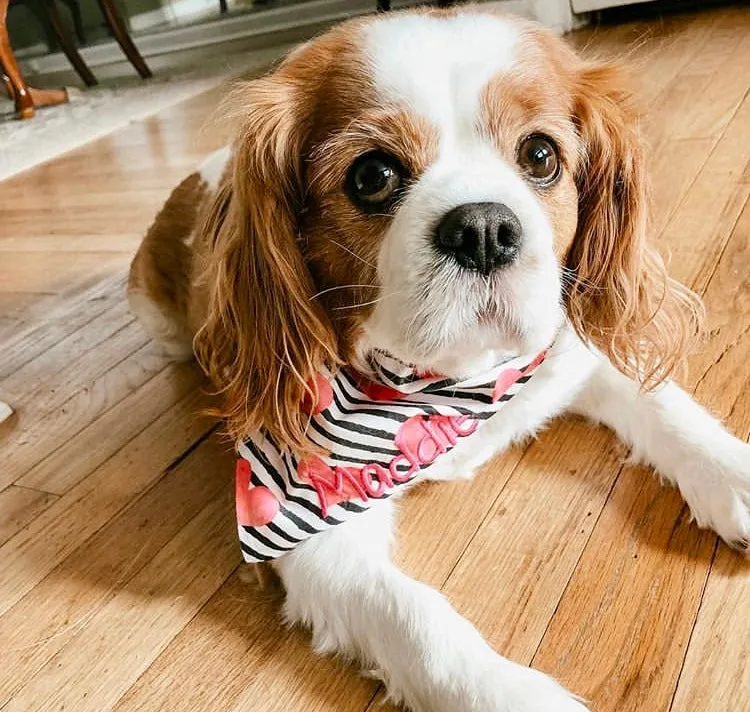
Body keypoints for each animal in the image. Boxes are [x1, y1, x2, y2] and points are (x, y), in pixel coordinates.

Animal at [129, 6, 750, 712]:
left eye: (541, 156)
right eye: (371, 177)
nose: (483, 228)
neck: (452, 382)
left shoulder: (564, 354)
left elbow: (664, 405)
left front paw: (733, 472)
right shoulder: (313, 533)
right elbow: (419, 620)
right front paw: (512, 695)